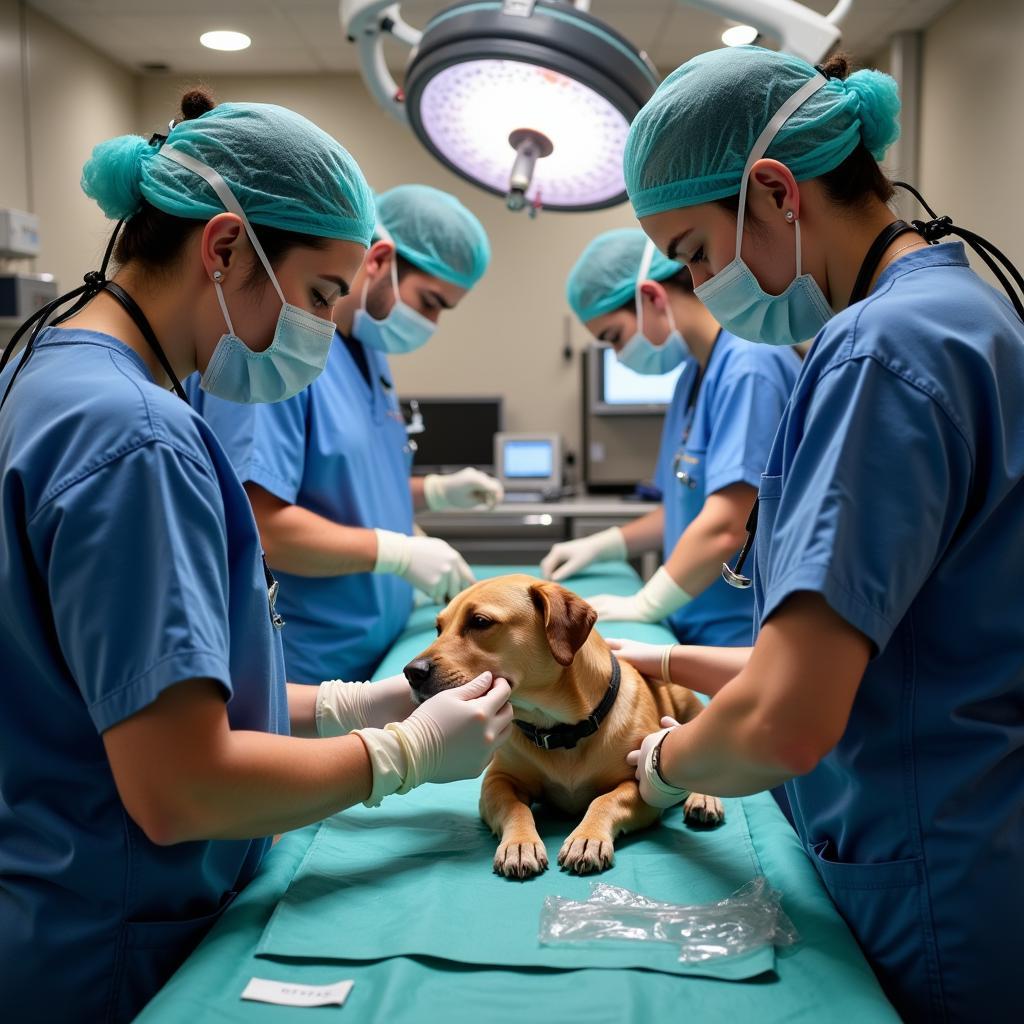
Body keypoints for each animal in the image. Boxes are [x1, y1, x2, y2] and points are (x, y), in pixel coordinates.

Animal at [403, 577, 724, 880]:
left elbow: (606, 800)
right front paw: (519, 844)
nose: (411, 672)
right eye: (438, 628)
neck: (560, 730)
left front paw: (587, 838)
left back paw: (704, 797)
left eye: (480, 622)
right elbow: (515, 807)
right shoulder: (497, 781)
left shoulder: (640, 787)